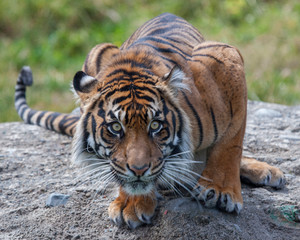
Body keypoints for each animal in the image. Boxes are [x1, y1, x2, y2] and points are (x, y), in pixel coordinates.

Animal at [14, 12, 286, 229]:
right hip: (96, 50)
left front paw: (221, 191)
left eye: (156, 126)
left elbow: (231, 141)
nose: (138, 170)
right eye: (115, 128)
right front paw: (131, 204)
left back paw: (265, 171)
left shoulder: (225, 56)